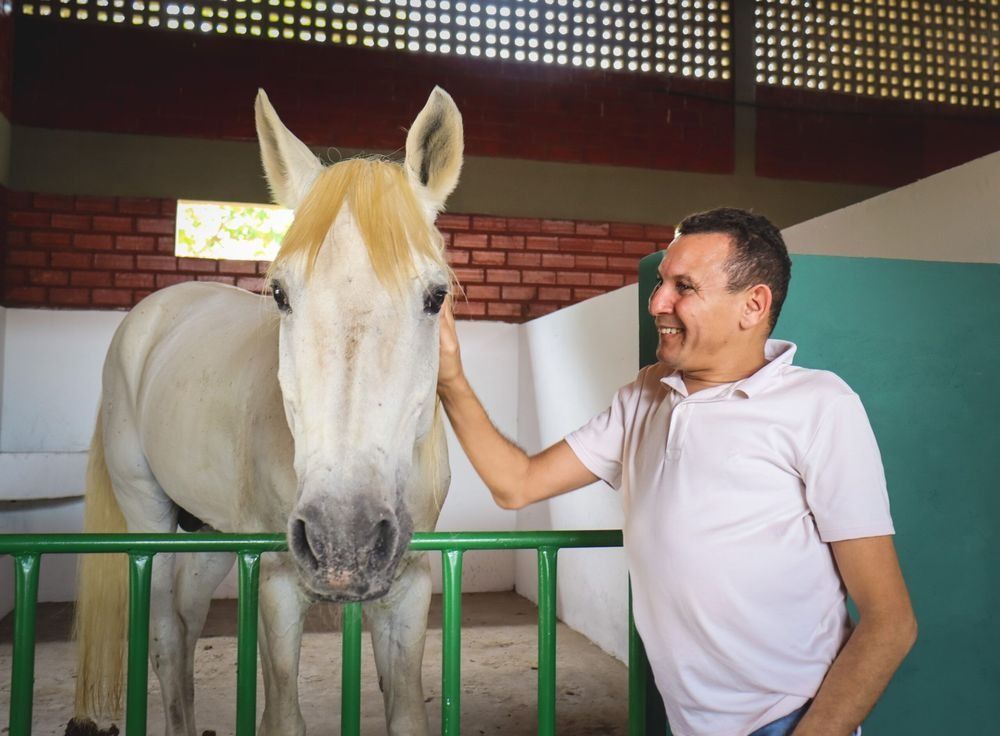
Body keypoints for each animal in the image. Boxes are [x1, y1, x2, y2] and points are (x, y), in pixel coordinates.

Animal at [69, 87, 460, 736]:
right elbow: (281, 715)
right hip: (148, 522)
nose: (343, 540)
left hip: (212, 535)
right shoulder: (277, 585)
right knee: (165, 635)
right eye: (279, 293)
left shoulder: (410, 586)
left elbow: (406, 711)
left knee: (185, 625)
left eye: (436, 296)